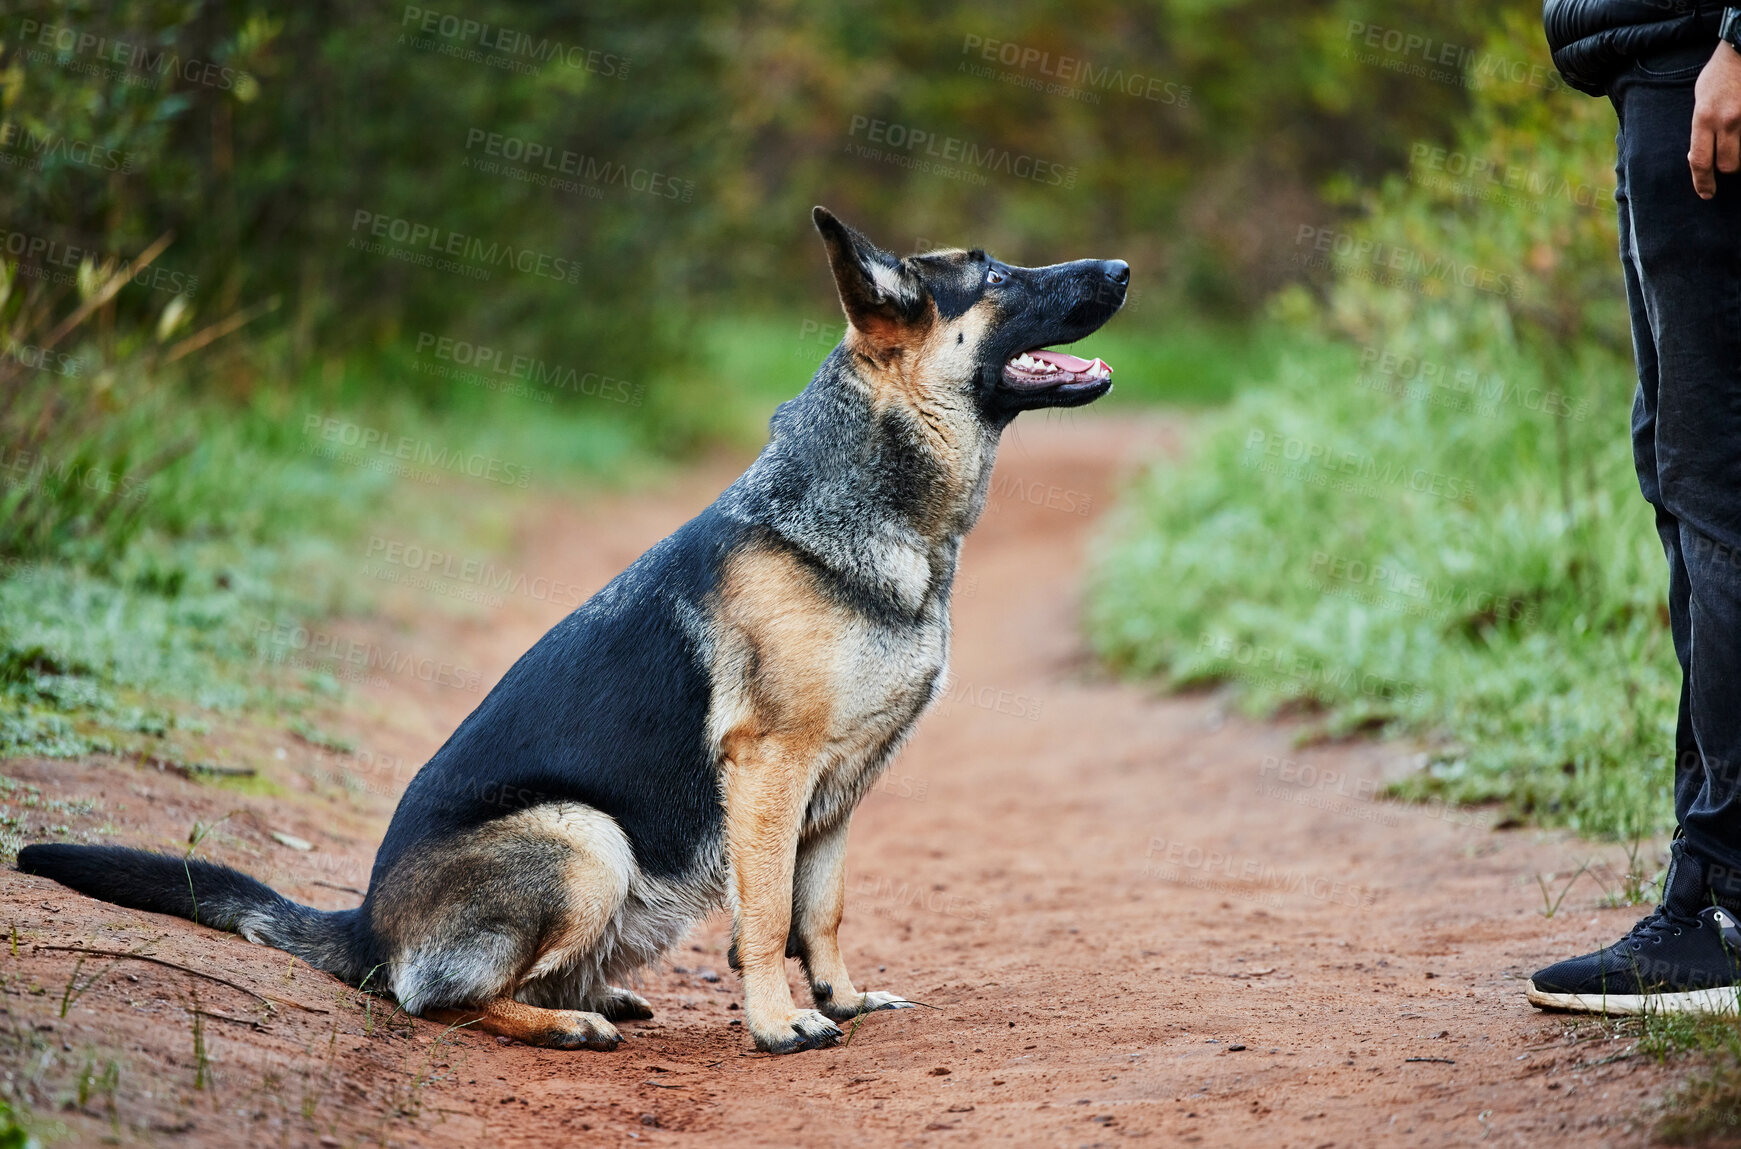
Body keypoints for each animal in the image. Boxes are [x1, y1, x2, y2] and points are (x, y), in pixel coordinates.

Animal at [20, 210, 1135, 1051]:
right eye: (997, 274)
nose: (1123, 266)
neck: (872, 506)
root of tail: (368, 928)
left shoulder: (839, 790)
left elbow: (818, 909)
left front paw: (842, 999)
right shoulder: (770, 770)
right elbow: (769, 913)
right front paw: (779, 1024)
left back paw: (594, 996)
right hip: (584, 838)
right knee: (437, 999)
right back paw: (561, 1023)